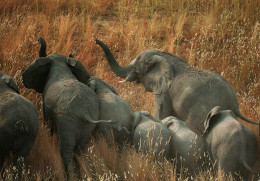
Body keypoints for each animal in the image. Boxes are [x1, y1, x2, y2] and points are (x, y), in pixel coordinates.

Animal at [22, 36, 116, 178]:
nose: (38, 38)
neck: (60, 65)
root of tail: (84, 112)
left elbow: (48, 124)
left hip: (67, 121)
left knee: (66, 151)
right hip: (87, 126)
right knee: (79, 150)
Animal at [94, 39, 258, 136]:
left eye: (135, 69)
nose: (96, 40)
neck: (163, 56)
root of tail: (234, 103)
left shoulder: (164, 92)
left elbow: (161, 114)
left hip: (201, 110)